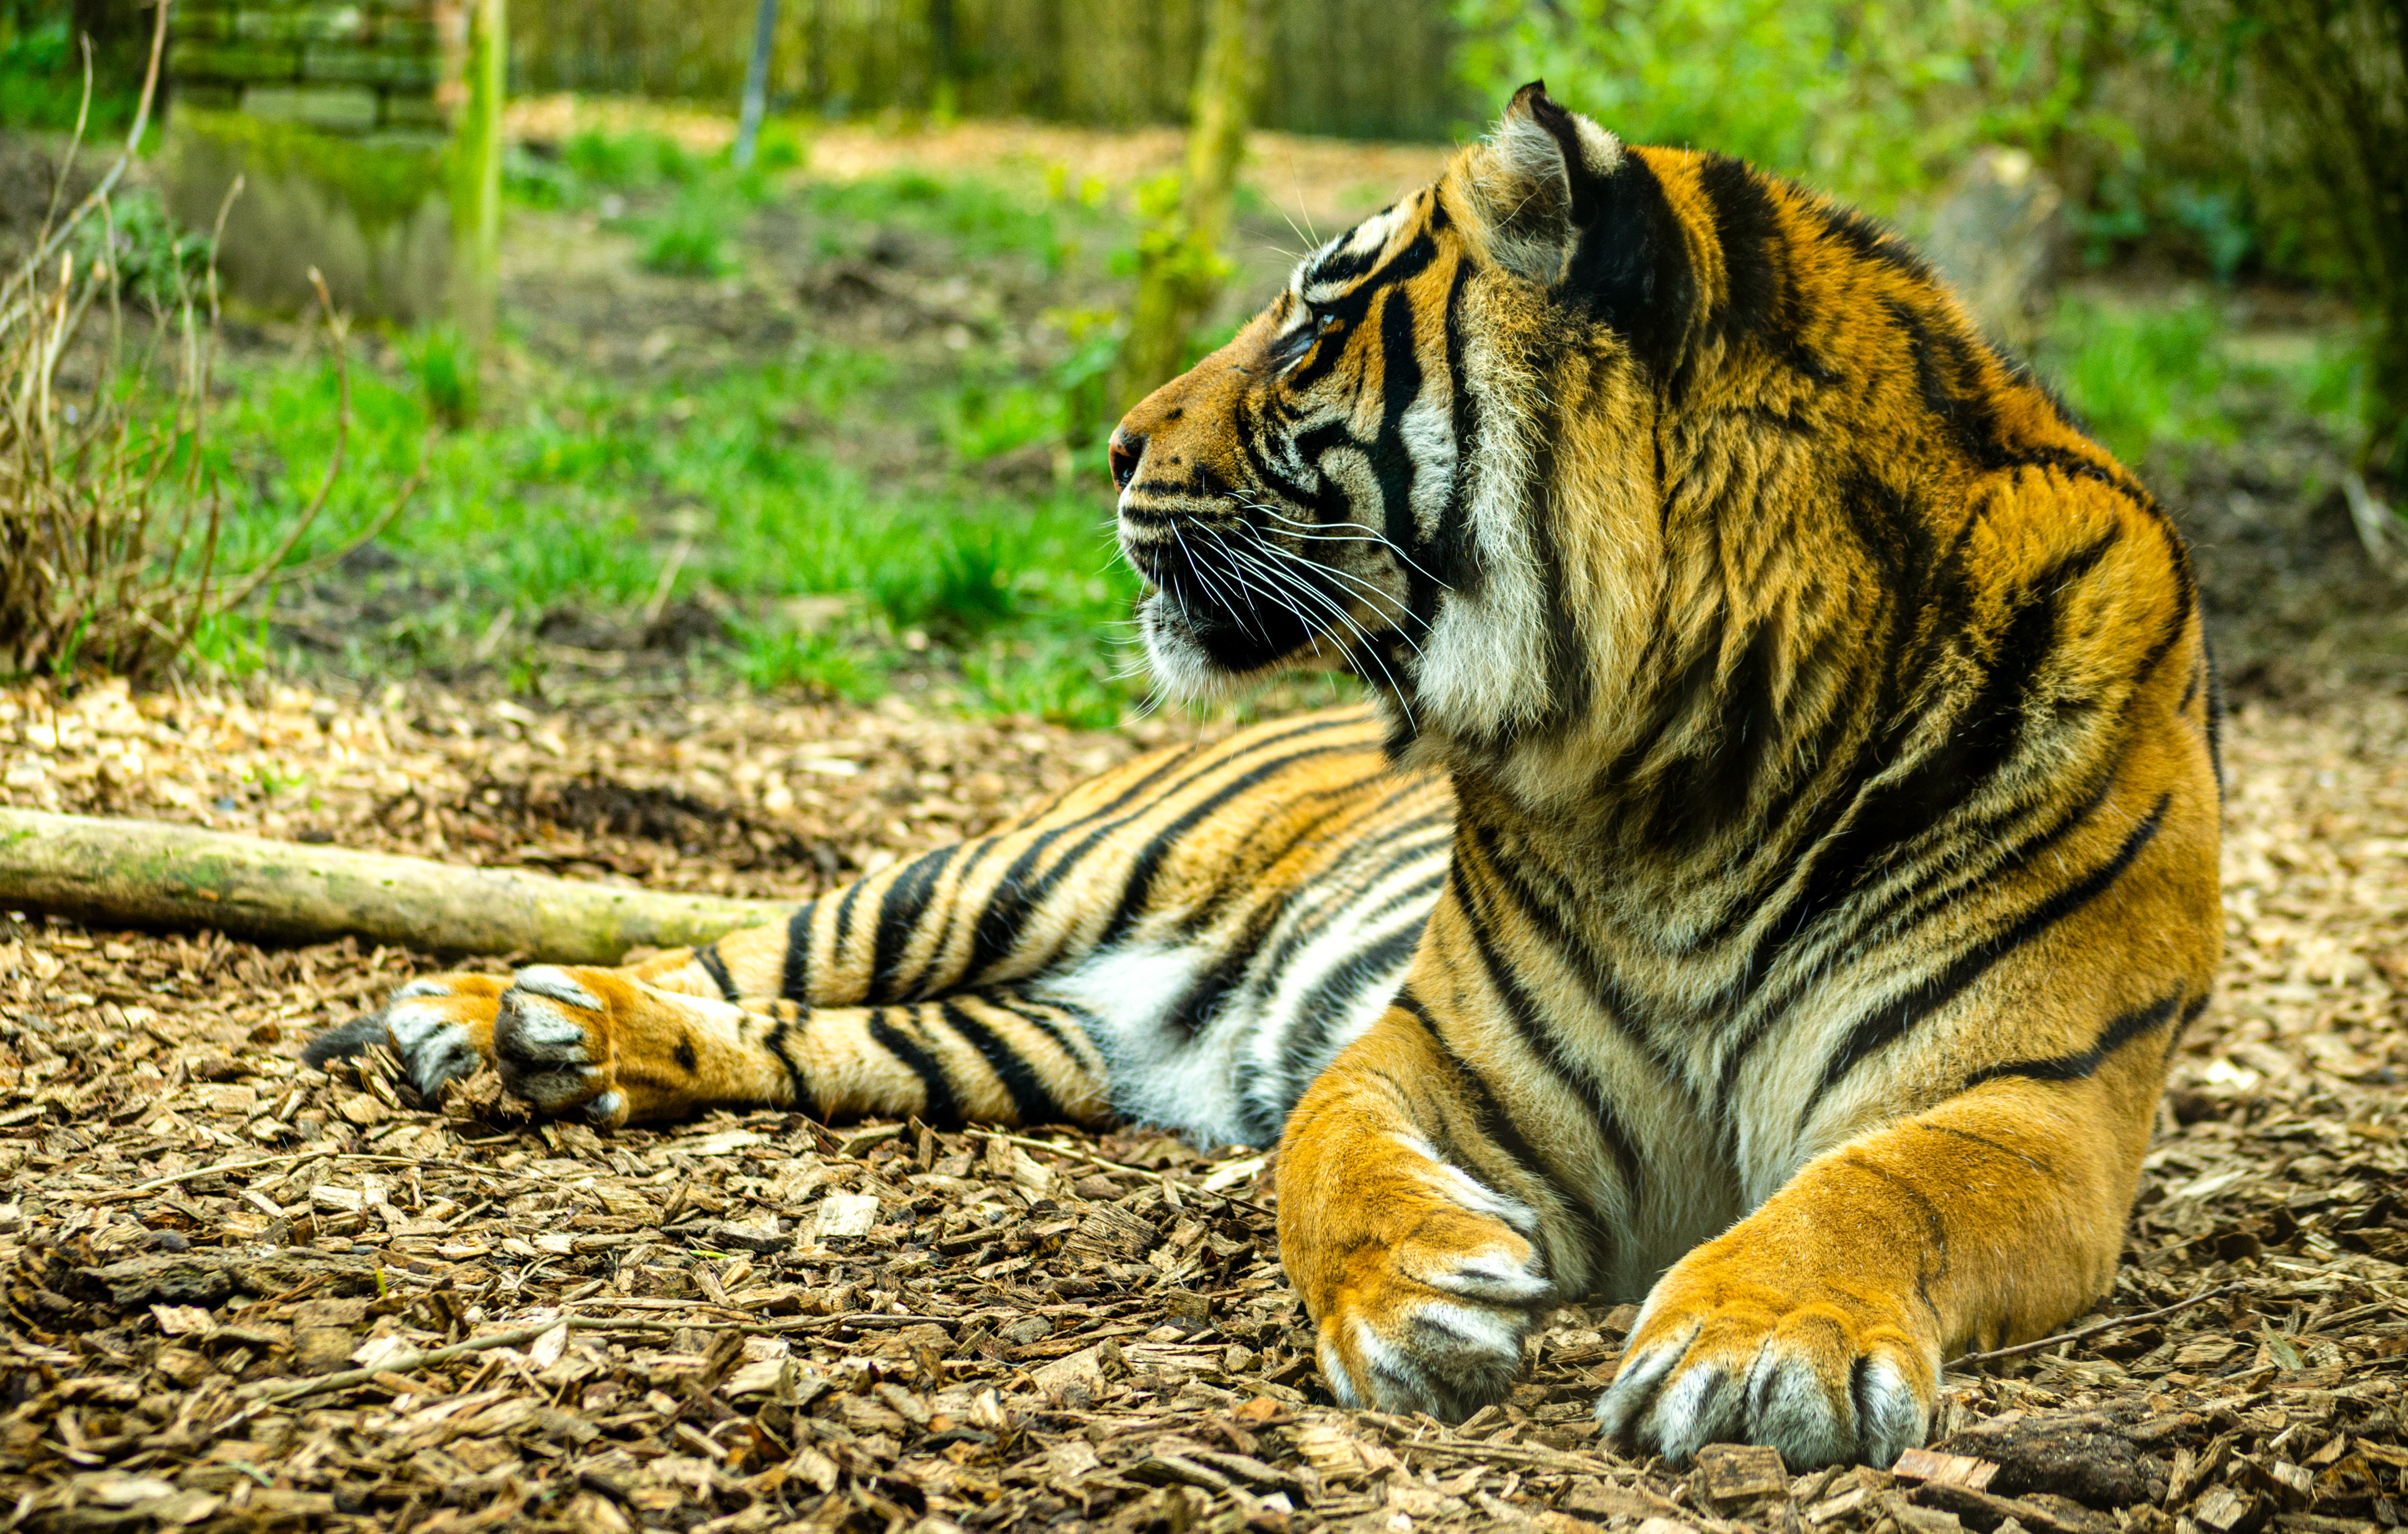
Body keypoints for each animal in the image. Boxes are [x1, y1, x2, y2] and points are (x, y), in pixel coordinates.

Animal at [307, 83, 2224, 1469]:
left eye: (1307, 341)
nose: (1108, 446)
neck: (1692, 767)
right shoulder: (1428, 1049)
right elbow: (1324, 1154)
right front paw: (1418, 1300)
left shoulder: (2031, 1100)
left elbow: (1878, 1185)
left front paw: (1759, 1347)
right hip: (985, 878)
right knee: (736, 954)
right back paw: (490, 1014)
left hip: (1018, 1042)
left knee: (807, 1038)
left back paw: (559, 1046)